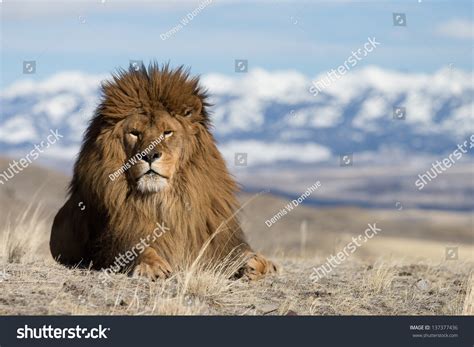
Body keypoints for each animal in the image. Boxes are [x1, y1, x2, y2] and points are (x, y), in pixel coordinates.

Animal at [50, 62, 276, 282]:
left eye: (167, 132)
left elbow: (240, 253)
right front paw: (152, 266)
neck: (163, 202)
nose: (149, 155)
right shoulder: (112, 239)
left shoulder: (215, 239)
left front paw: (259, 264)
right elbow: (137, 248)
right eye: (134, 133)